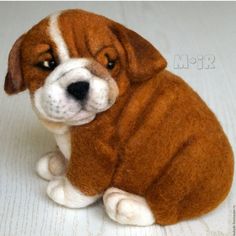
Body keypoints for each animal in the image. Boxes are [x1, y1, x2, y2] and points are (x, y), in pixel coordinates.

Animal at [4, 9, 234, 226]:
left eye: (110, 64)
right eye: (48, 64)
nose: (78, 86)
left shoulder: (96, 150)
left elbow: (83, 180)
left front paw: (64, 191)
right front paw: (56, 162)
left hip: (186, 168)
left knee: (166, 208)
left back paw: (126, 203)